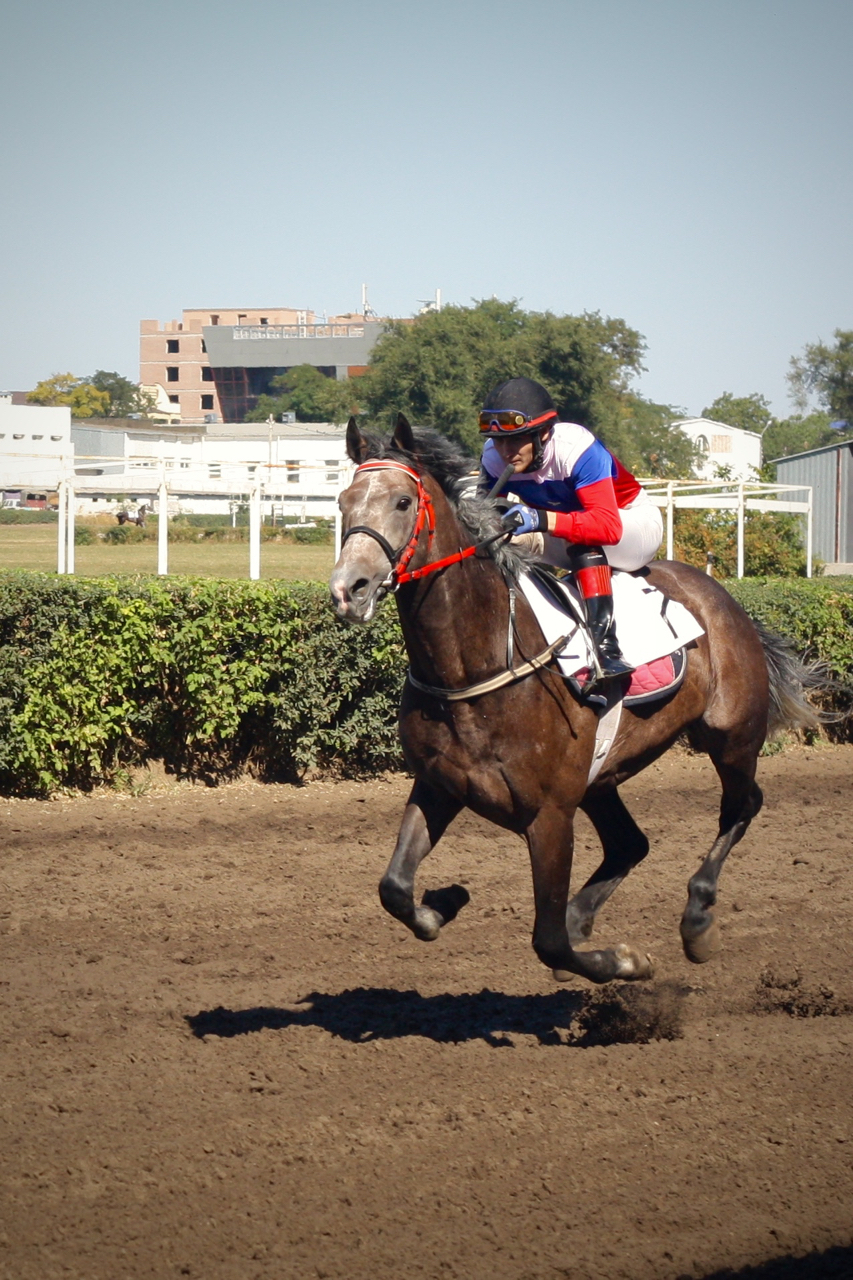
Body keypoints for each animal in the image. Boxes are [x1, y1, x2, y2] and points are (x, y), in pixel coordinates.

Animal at [326, 414, 819, 983]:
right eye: (342, 500)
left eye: (403, 502)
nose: (349, 590)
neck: (475, 666)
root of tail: (722, 595)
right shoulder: (439, 785)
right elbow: (395, 888)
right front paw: (444, 902)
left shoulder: (550, 815)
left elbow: (550, 943)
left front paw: (625, 960)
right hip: (601, 776)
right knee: (630, 843)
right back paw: (586, 915)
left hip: (731, 736)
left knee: (742, 805)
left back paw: (697, 919)